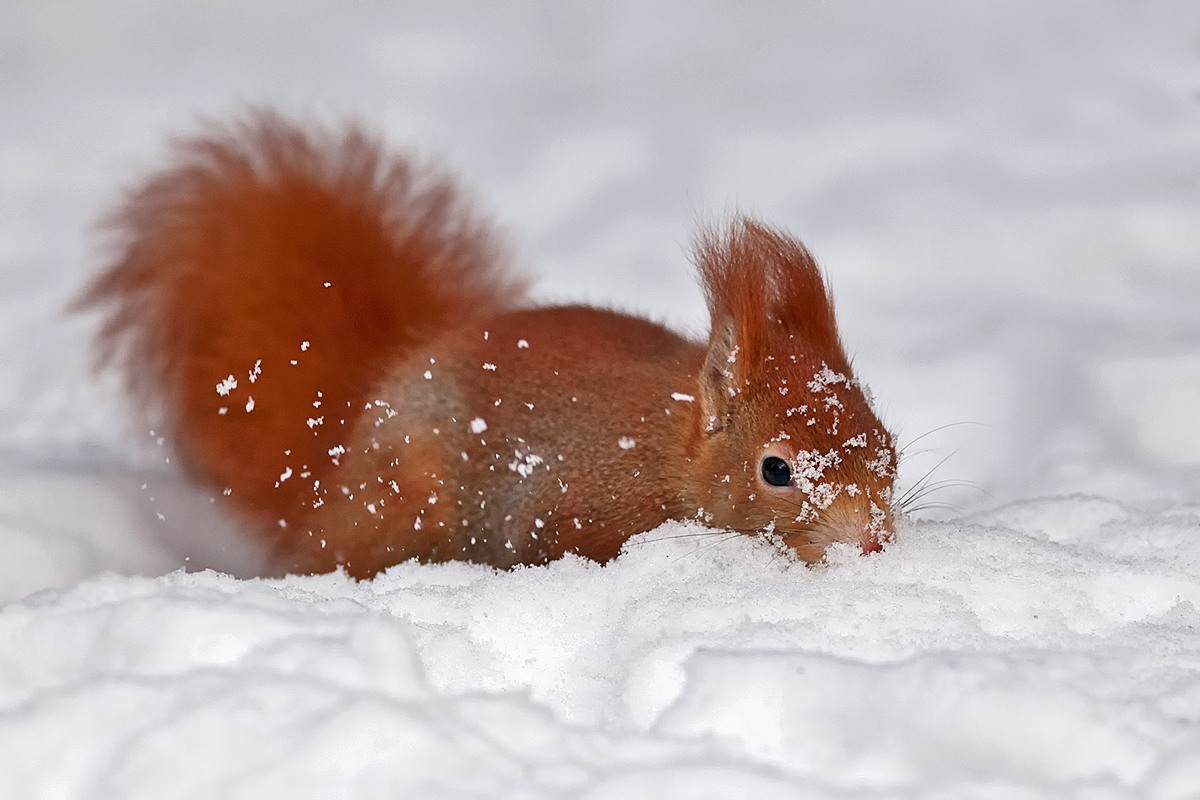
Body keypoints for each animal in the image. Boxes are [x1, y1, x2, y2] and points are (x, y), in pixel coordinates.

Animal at [75, 110, 897, 575]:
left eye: (888, 446)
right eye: (775, 470)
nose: (874, 543)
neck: (671, 460)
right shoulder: (578, 510)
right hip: (407, 499)